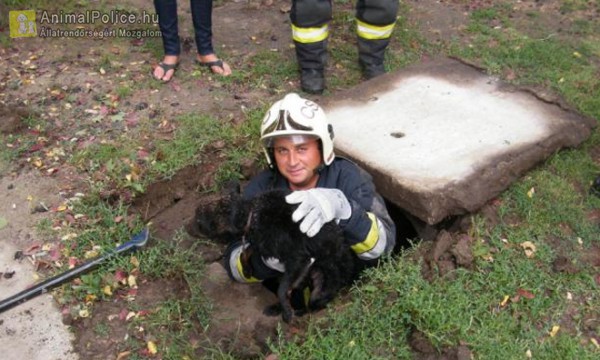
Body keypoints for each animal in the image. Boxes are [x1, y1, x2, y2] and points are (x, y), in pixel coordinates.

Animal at [195, 184, 358, 322]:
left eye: (199, 218)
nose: (188, 227)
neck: (253, 214)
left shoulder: (298, 258)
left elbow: (281, 289)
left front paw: (287, 313)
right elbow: (247, 251)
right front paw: (247, 269)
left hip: (322, 286)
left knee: (313, 303)